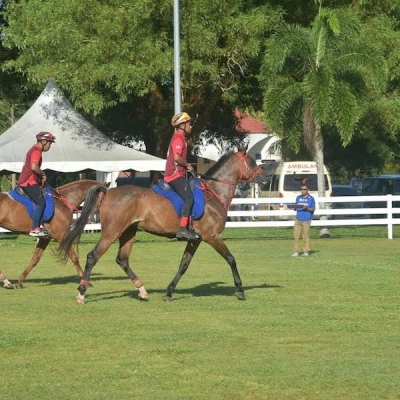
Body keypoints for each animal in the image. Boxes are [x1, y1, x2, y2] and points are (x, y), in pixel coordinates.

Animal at [57, 147, 268, 304]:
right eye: (251, 162)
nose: (265, 179)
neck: (214, 193)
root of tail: (109, 192)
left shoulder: (196, 240)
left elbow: (183, 265)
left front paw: (169, 292)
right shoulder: (212, 236)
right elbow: (231, 259)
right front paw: (240, 289)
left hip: (128, 232)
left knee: (122, 259)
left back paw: (142, 290)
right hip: (111, 232)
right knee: (93, 256)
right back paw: (82, 292)